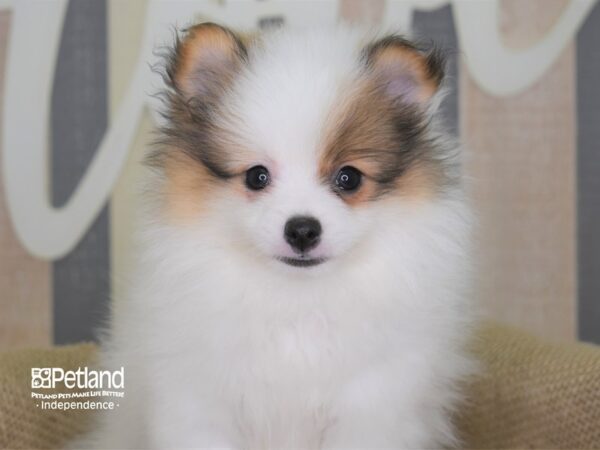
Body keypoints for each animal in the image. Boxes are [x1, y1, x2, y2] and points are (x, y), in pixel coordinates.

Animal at [78, 23, 474, 450]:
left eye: (348, 178)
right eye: (257, 176)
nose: (302, 229)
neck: (295, 302)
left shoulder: (370, 406)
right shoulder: (200, 402)